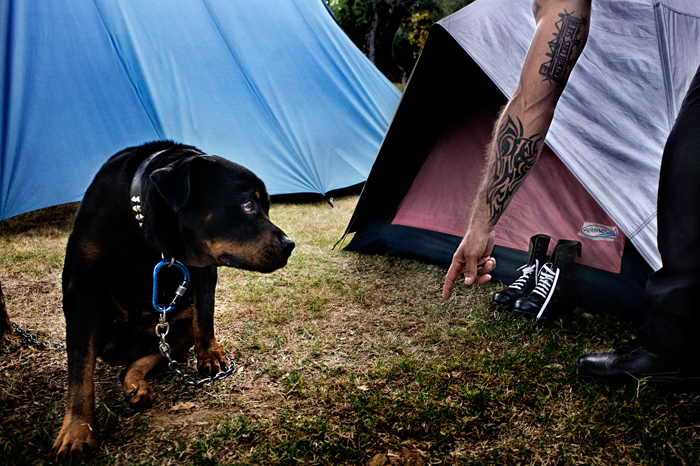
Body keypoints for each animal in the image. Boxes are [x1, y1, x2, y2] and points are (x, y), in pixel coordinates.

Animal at [51, 141, 292, 458]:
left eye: (266, 207)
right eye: (247, 205)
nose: (289, 245)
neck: (143, 232)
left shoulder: (203, 267)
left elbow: (205, 315)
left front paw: (211, 356)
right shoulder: (82, 292)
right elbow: (80, 370)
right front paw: (77, 432)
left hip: (172, 326)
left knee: (150, 355)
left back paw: (136, 383)